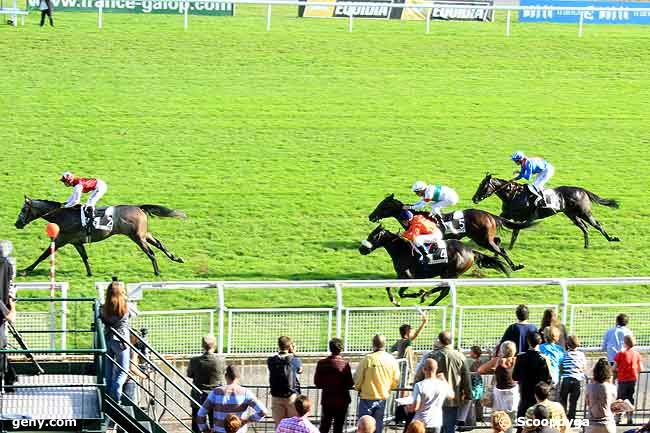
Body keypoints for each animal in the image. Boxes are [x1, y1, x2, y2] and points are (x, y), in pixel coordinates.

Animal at [15, 197, 186, 276]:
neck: (62, 216)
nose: (17, 224)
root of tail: (139, 207)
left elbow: (43, 255)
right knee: (159, 244)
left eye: (23, 210)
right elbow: (85, 257)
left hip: (137, 237)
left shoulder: (61, 240)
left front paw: (25, 270)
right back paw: (176, 258)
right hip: (144, 234)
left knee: (151, 252)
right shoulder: (76, 242)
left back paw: (157, 271)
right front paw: (90, 273)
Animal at [356, 224, 508, 306]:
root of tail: (471, 251)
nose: (361, 249)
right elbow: (388, 287)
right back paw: (427, 297)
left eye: (373, 236)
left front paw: (417, 293)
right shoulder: (400, 275)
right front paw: (395, 301)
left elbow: (401, 292)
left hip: (452, 273)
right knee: (443, 289)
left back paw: (427, 297)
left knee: (444, 290)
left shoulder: (410, 277)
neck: (402, 251)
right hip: (448, 273)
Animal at [368, 195, 536, 272]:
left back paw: (514, 266)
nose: (371, 216)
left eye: (383, 206)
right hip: (485, 237)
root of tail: (489, 215)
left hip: (483, 240)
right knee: (498, 243)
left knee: (500, 249)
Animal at [470, 171, 616, 246]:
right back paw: (586, 245)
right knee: (584, 227)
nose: (474, 199)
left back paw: (611, 239)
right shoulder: (508, 215)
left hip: (583, 212)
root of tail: (582, 190)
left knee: (596, 224)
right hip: (572, 214)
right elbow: (505, 224)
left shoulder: (521, 218)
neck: (513, 195)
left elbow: (515, 231)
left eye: (483, 186)